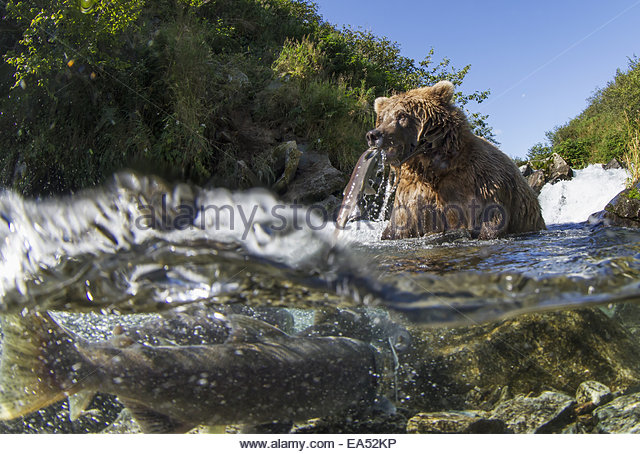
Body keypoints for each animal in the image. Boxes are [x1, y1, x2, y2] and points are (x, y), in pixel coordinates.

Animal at [364, 80, 544, 241]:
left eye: (402, 115)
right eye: (382, 118)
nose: (373, 135)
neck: (433, 167)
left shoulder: (482, 184)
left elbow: (490, 220)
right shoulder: (412, 194)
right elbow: (400, 225)